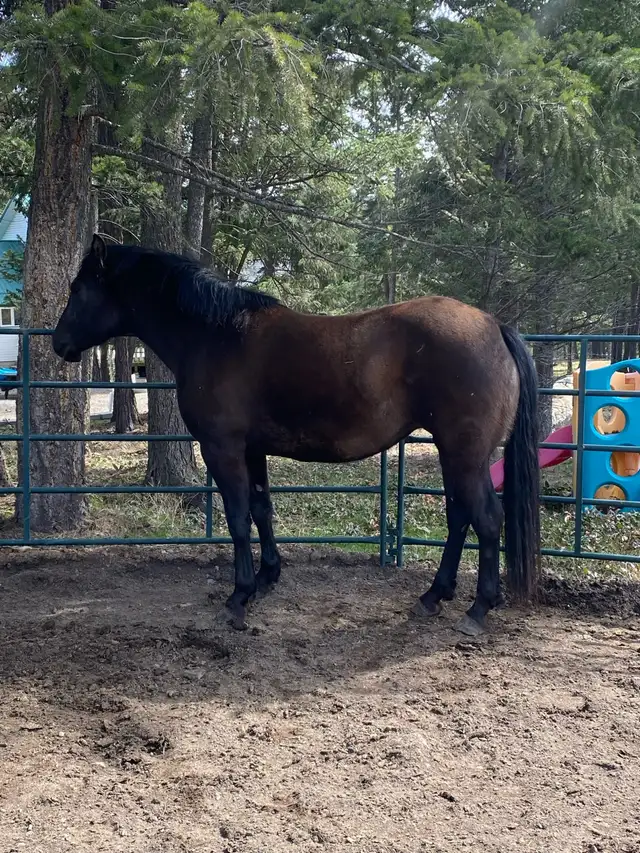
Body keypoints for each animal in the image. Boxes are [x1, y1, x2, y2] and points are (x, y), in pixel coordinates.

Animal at [53, 235, 540, 636]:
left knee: (486, 518)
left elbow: (237, 518)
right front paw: (267, 578)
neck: (216, 336)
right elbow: (261, 510)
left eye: (78, 289)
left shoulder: (222, 449)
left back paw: (478, 608)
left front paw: (239, 597)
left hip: (465, 453)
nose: (59, 343)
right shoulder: (252, 451)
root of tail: (494, 326)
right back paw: (433, 596)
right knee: (460, 518)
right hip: (455, 454)